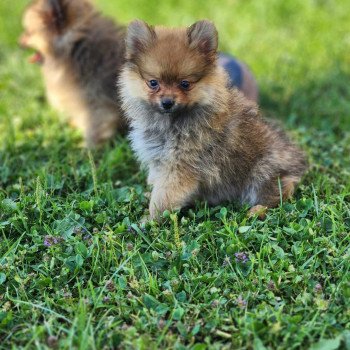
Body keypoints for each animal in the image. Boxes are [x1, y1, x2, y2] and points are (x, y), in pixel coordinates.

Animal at [19, 0, 127, 146]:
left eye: (29, 33)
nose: (19, 41)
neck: (74, 49)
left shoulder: (95, 101)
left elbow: (96, 126)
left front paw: (88, 147)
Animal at [118, 19, 306, 219]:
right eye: (153, 83)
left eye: (185, 84)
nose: (167, 102)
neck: (170, 123)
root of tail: (298, 161)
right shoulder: (160, 161)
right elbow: (157, 184)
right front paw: (149, 197)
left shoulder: (180, 167)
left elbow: (163, 198)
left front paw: (149, 219)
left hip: (262, 170)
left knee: (280, 191)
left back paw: (256, 210)